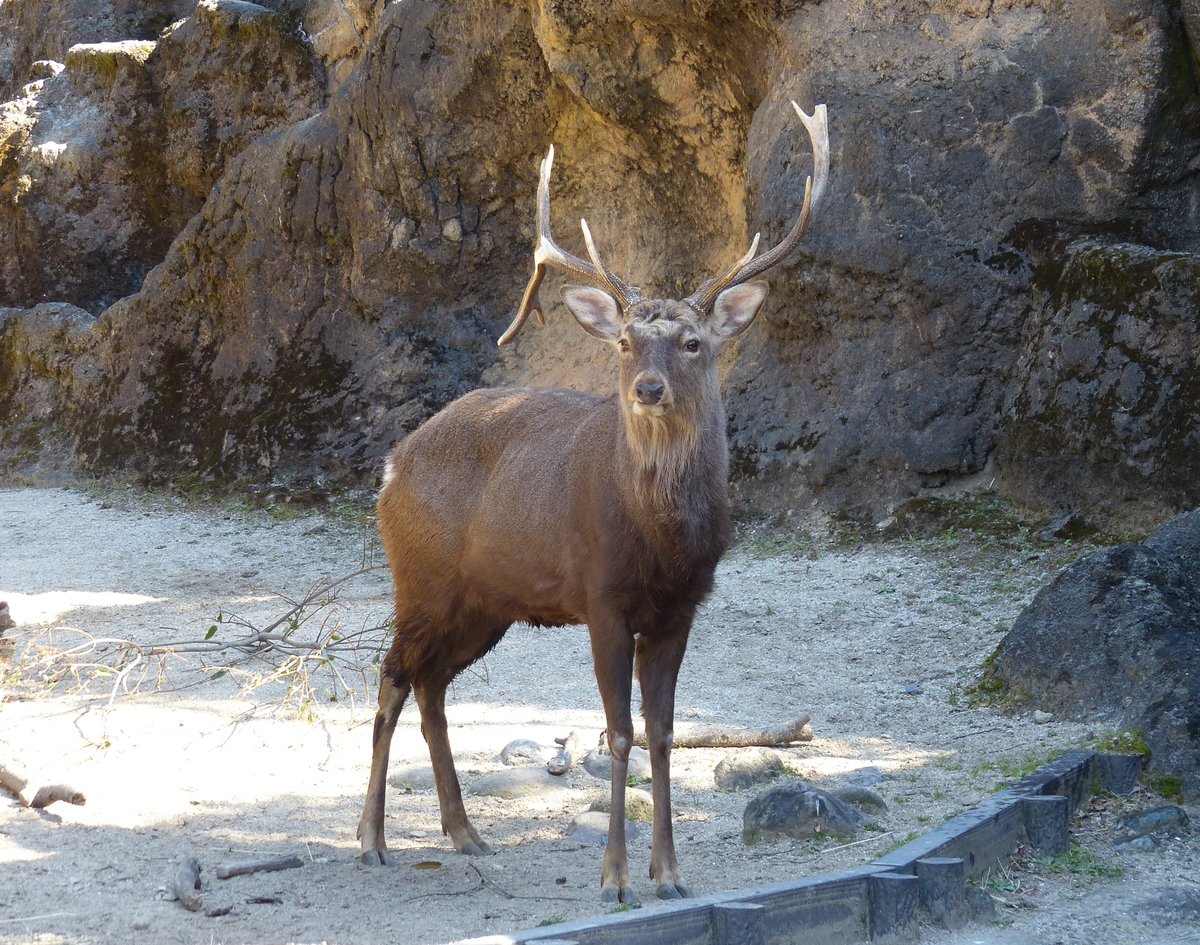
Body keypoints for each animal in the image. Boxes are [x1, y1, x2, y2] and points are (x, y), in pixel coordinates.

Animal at [355, 99, 825, 906]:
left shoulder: (682, 606)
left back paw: (464, 831)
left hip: (487, 602)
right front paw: (614, 879)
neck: (661, 540)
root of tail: (390, 467)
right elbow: (619, 731)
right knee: (390, 676)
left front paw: (670, 874)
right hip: (420, 577)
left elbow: (663, 731)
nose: (648, 388)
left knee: (432, 684)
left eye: (693, 342)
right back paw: (373, 838)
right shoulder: (602, 595)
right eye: (628, 342)